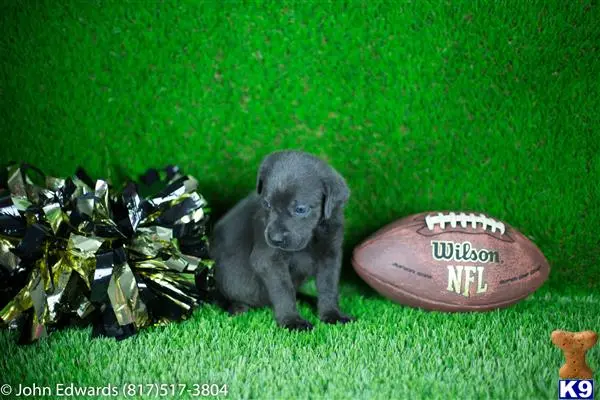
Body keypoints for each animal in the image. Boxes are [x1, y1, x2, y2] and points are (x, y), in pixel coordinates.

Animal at [209, 150, 354, 332]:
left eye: (300, 209)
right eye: (267, 204)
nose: (274, 238)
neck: (312, 236)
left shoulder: (331, 254)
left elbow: (329, 286)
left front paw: (332, 314)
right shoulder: (269, 260)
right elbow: (284, 290)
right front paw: (291, 321)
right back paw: (235, 306)